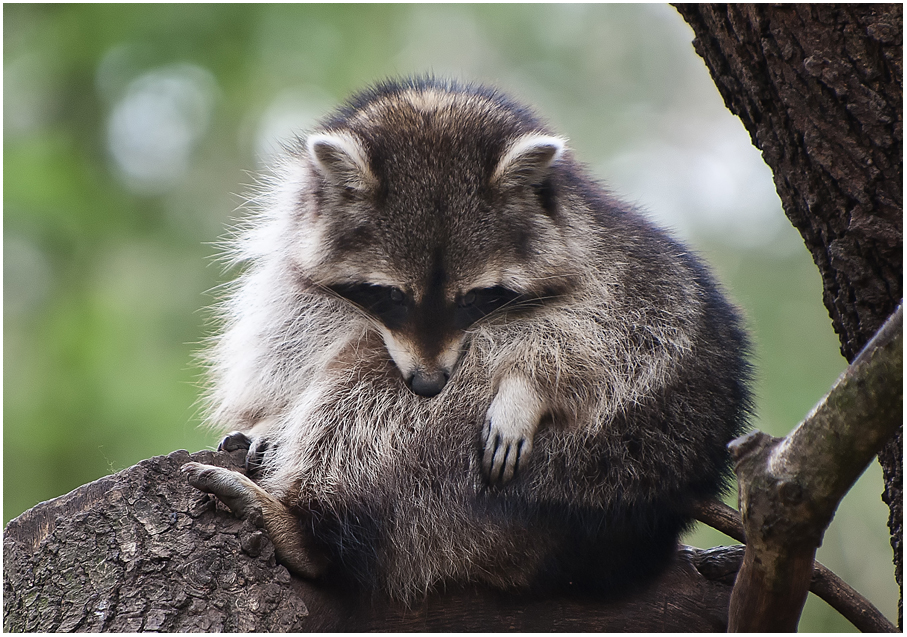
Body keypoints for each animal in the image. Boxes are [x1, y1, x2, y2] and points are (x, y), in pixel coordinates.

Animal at [183, 78, 752, 600]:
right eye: (389, 295)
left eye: (477, 297)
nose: (429, 383)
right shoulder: (300, 268)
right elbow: (289, 331)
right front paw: (271, 416)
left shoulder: (623, 263)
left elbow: (622, 329)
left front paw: (528, 388)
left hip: (564, 464)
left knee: (371, 403)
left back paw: (308, 532)